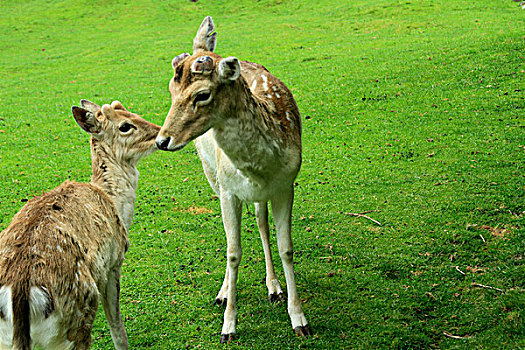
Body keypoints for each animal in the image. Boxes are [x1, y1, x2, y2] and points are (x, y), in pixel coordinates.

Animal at [0, 100, 160, 348]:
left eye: (126, 108)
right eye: (125, 126)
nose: (161, 133)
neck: (115, 203)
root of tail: (18, 291)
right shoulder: (113, 264)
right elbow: (117, 325)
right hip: (77, 319)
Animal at [156, 16, 312, 342]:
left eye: (202, 94)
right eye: (171, 90)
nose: (162, 140)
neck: (260, 167)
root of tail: (204, 48)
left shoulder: (286, 184)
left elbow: (286, 248)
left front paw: (300, 319)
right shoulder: (229, 191)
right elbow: (233, 252)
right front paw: (228, 326)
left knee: (261, 222)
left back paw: (273, 287)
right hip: (211, 173)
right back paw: (224, 293)